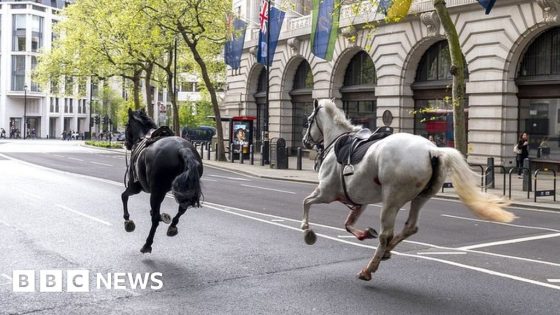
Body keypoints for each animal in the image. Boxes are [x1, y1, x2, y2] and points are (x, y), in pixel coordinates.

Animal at [122, 108, 203, 254]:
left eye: (126, 125)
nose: (126, 143)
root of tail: (182, 149)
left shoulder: (135, 187)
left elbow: (124, 196)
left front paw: (127, 220)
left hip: (155, 192)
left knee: (154, 219)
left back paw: (147, 244)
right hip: (183, 189)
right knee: (182, 208)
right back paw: (172, 226)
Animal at [302, 99, 516, 282]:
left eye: (308, 120)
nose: (305, 142)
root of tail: (433, 150)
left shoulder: (326, 192)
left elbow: (306, 202)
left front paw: (307, 231)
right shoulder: (359, 200)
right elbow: (347, 224)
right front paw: (364, 233)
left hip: (391, 200)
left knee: (386, 234)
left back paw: (369, 269)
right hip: (421, 197)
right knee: (410, 227)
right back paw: (386, 252)